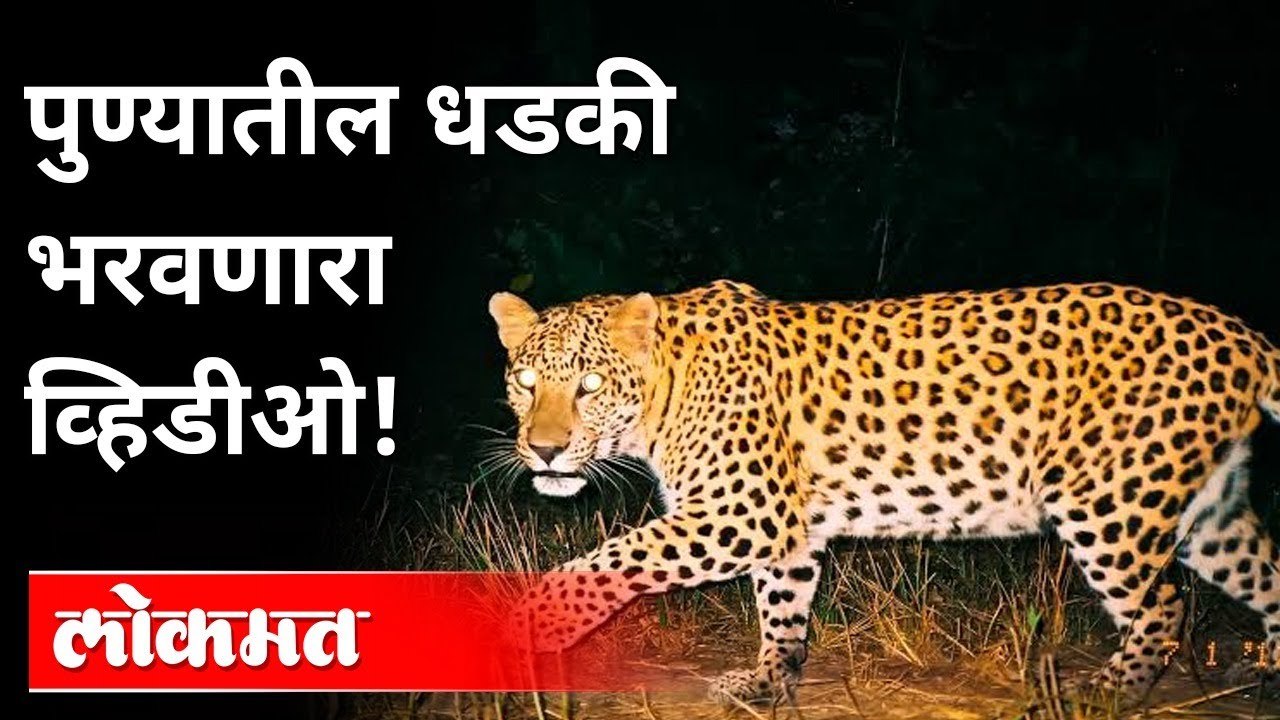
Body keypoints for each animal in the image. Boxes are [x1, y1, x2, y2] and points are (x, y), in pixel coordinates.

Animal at [487, 279, 1280, 705]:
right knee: (1264, 573)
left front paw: (526, 624)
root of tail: (1240, 333)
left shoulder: (743, 512)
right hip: (1208, 510)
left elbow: (606, 562)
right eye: (525, 381)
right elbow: (784, 608)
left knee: (1163, 607)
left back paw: (1104, 692)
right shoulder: (790, 529)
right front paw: (771, 683)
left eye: (589, 385)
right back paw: (1266, 670)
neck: (665, 392)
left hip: (1110, 500)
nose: (544, 449)